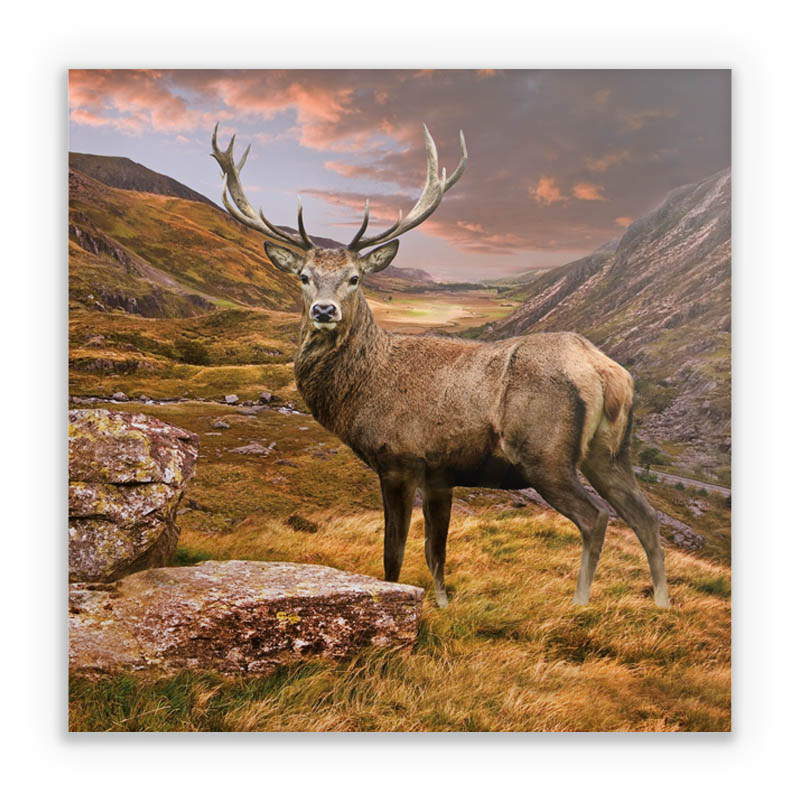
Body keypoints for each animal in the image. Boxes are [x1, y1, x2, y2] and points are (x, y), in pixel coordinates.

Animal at [210, 122, 670, 609]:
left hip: (545, 454)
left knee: (596, 518)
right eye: (303, 276)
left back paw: (580, 602)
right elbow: (436, 552)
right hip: (610, 453)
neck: (364, 390)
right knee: (646, 517)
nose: (323, 310)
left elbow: (394, 553)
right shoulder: (440, 475)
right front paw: (443, 604)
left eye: (355, 278)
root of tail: (606, 371)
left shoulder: (399, 458)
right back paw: (663, 604)